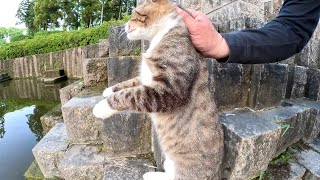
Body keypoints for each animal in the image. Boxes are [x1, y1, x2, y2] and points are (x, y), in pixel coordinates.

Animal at [92, 0, 222, 179]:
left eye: (135, 14)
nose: (125, 25)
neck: (160, 34)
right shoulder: (146, 78)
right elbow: (132, 82)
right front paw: (110, 89)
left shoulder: (169, 90)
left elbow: (131, 94)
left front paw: (102, 107)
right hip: (169, 161)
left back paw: (150, 175)